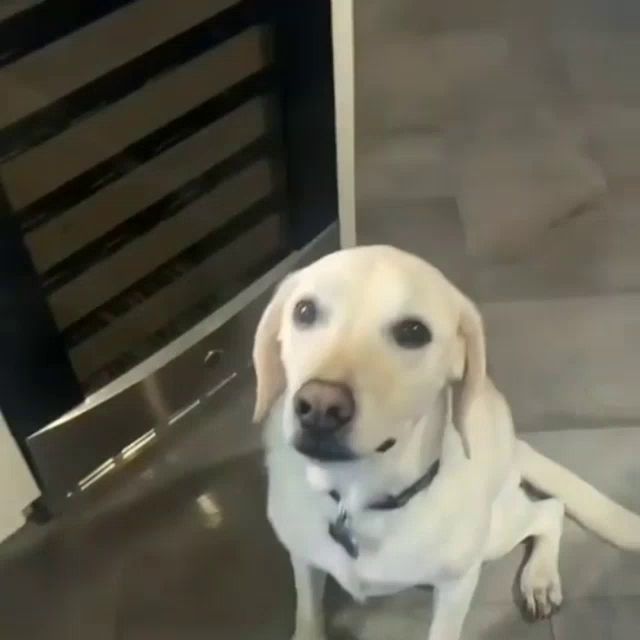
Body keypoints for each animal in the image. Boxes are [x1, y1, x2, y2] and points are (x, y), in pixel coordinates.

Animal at [252, 246, 640, 640]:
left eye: (413, 332)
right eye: (304, 311)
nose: (319, 407)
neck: (356, 498)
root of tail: (514, 443)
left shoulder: (458, 584)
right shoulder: (303, 558)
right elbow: (308, 613)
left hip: (494, 533)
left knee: (550, 511)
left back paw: (540, 580)